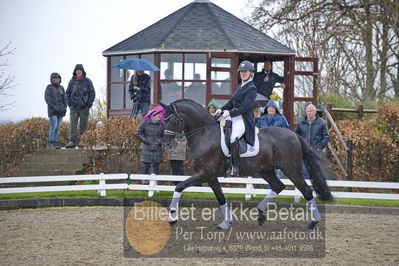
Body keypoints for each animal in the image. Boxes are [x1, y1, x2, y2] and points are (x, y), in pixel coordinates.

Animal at [161, 98, 332, 230]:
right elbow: (220, 197)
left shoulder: (205, 173)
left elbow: (179, 186)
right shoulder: (210, 176)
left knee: (306, 191)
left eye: (172, 119)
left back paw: (313, 222)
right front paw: (226, 222)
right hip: (265, 170)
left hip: (291, 169)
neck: (205, 134)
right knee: (278, 186)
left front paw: (173, 218)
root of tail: (294, 135)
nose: (165, 143)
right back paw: (261, 215)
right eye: (164, 119)